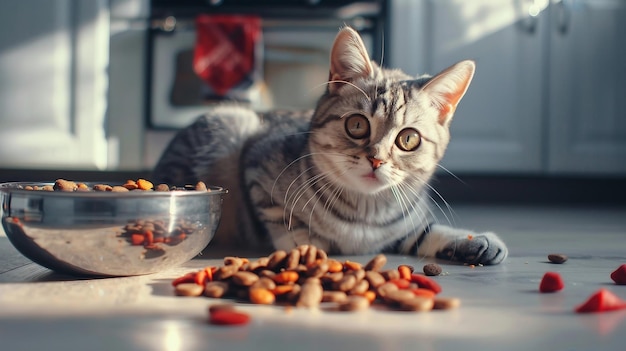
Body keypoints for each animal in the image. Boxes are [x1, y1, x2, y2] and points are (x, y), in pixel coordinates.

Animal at [155, 27, 508, 266]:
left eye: (408, 139)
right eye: (357, 125)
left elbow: (425, 231)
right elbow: (282, 219)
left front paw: (472, 240)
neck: (364, 215)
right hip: (231, 123)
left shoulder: (400, 227)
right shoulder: (258, 169)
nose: (375, 160)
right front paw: (306, 247)